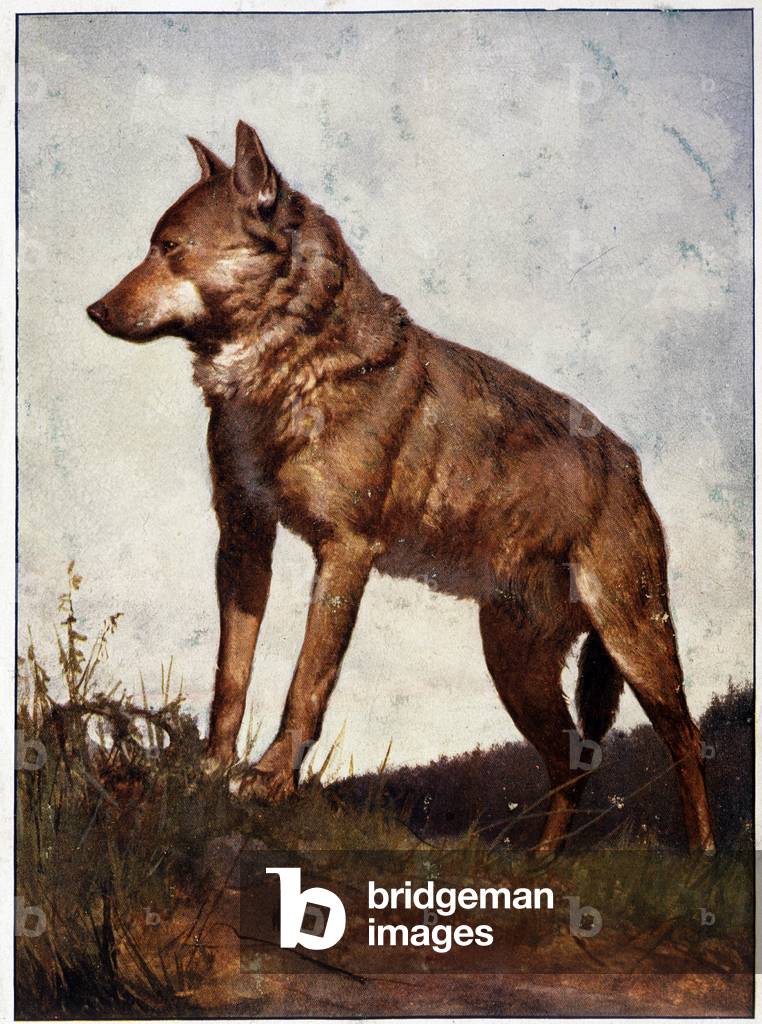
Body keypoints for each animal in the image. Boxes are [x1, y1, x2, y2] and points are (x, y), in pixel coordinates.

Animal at [87, 121, 715, 853]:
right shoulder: (243, 541)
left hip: (636, 645)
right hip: (517, 668)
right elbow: (230, 677)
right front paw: (212, 771)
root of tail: (629, 460)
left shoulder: (345, 553)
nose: (93, 310)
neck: (289, 373)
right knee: (572, 764)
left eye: (170, 248)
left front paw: (269, 780)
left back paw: (702, 854)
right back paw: (542, 862)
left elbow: (307, 682)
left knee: (685, 740)